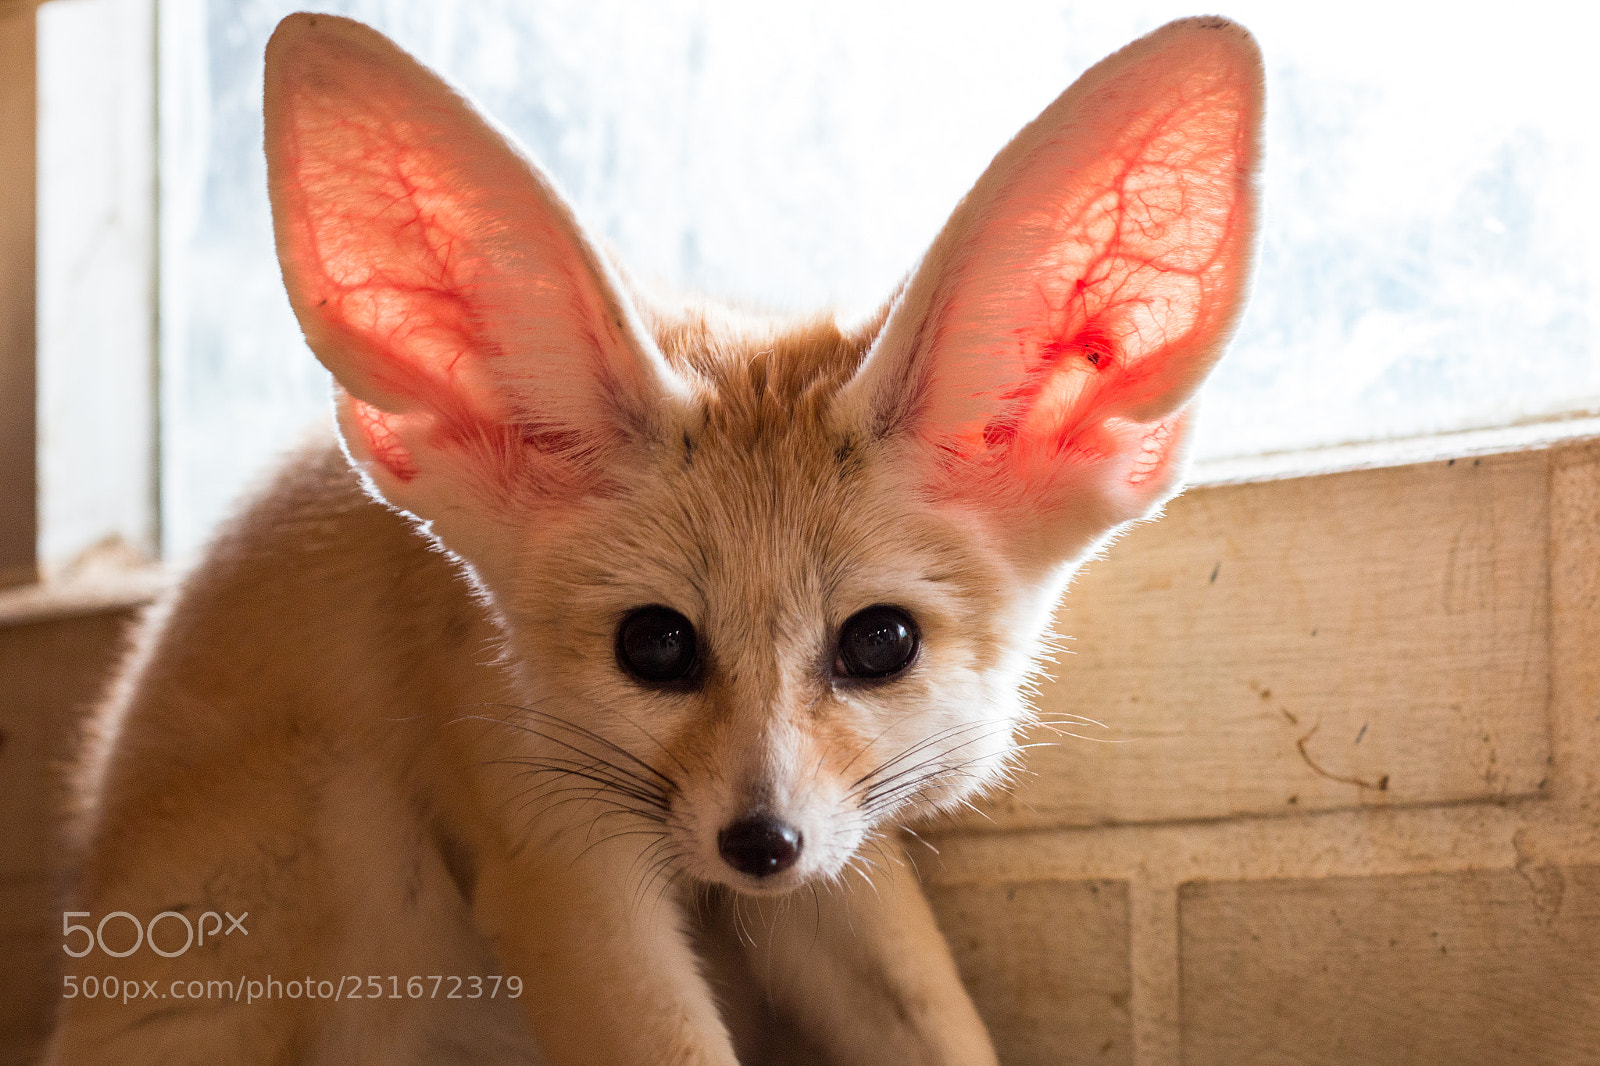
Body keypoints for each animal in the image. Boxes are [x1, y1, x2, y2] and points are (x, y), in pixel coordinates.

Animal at [46, 11, 1261, 1066]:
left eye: (880, 643)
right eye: (655, 645)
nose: (758, 845)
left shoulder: (838, 852)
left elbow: (931, 1019)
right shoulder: (552, 851)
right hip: (347, 827)